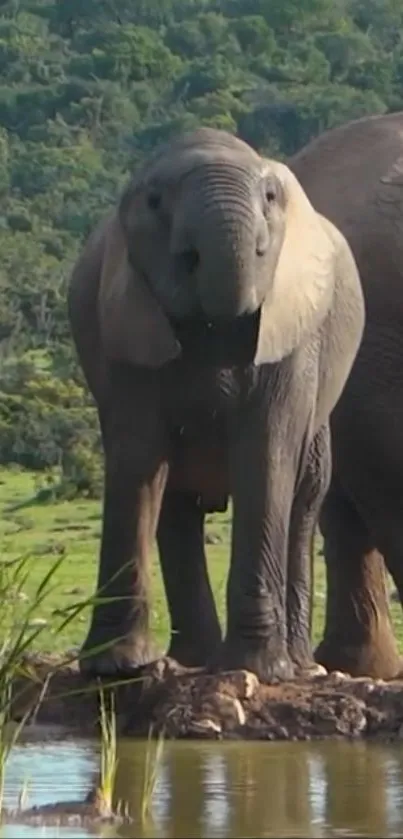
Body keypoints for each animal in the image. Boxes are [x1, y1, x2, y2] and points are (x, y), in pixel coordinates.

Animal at [67, 128, 366, 684]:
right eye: (155, 202)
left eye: (270, 197)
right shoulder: (122, 321)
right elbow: (138, 455)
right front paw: (113, 670)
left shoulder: (293, 336)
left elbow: (265, 455)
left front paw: (259, 671)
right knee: (175, 501)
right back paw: (193, 660)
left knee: (304, 496)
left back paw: (297, 666)